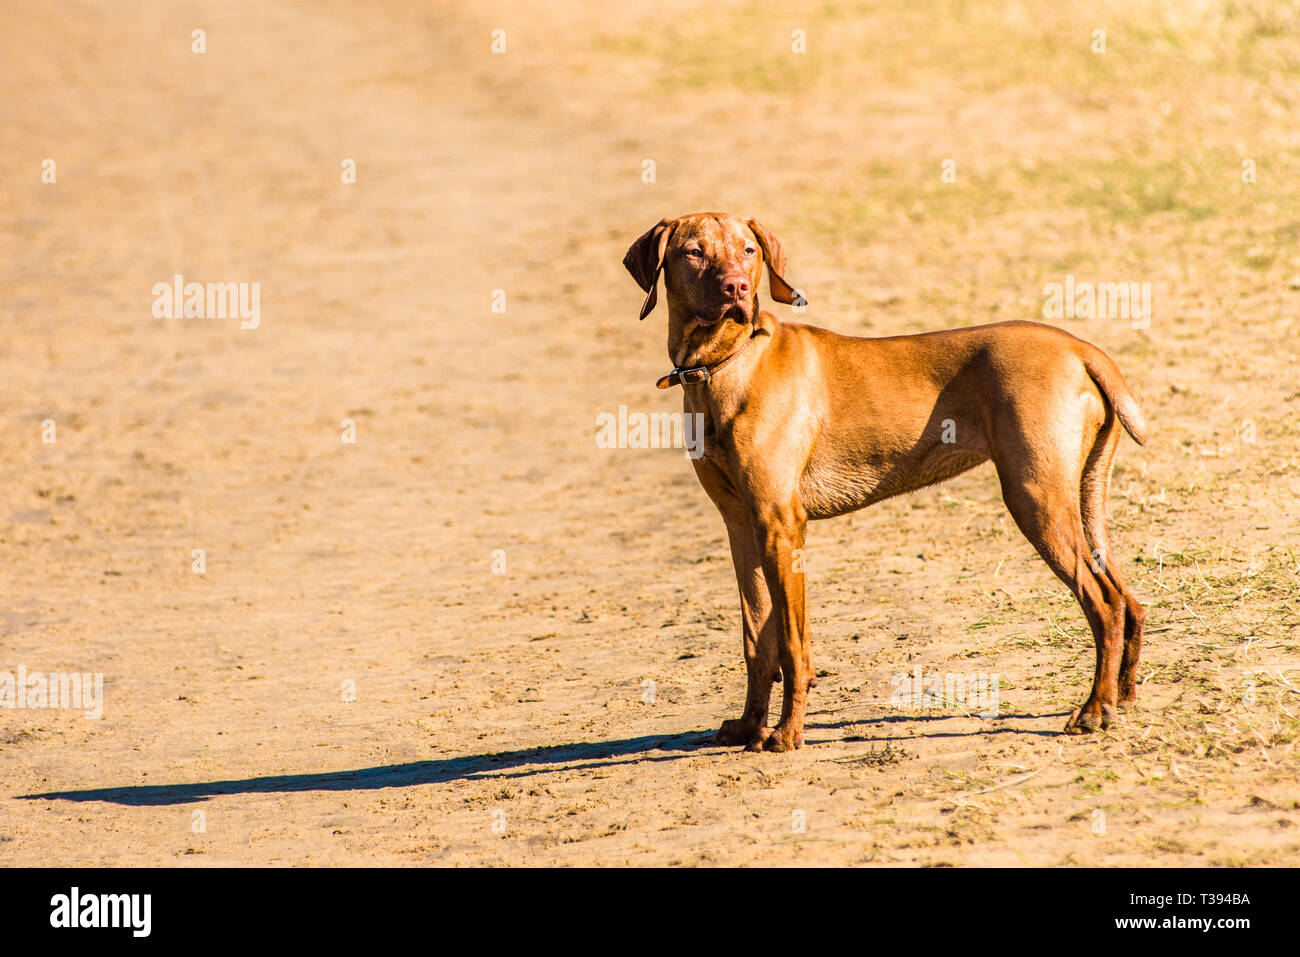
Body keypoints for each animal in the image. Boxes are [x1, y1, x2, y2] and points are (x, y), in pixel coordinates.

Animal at [626, 213, 1149, 748]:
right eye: (693, 251)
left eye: (749, 250)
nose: (737, 287)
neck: (722, 363)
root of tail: (1080, 348)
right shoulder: (740, 526)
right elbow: (757, 637)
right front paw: (750, 725)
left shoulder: (780, 524)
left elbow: (791, 644)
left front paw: (787, 733)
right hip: (1081, 497)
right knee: (1128, 600)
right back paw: (1122, 696)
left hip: (1035, 498)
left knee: (1105, 603)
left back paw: (1094, 709)